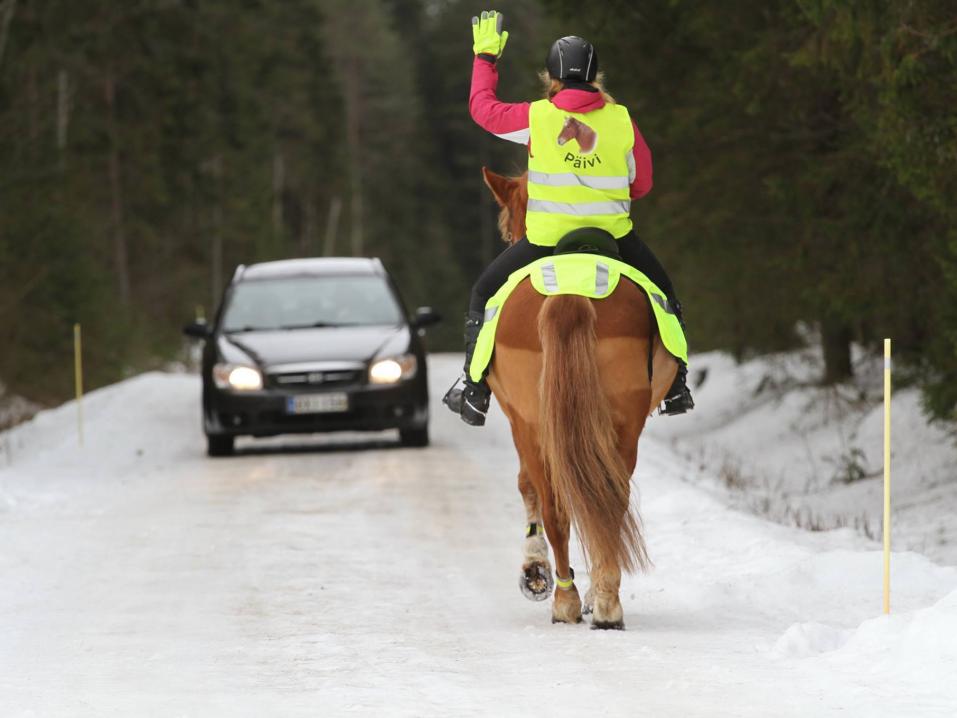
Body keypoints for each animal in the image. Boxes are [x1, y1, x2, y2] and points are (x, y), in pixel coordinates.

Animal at [478, 169, 672, 632]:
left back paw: (567, 600)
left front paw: (534, 572)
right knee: (607, 500)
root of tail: (571, 290)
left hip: (535, 425)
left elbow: (528, 487)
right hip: (622, 423)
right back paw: (605, 602)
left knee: (557, 508)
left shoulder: (519, 422)